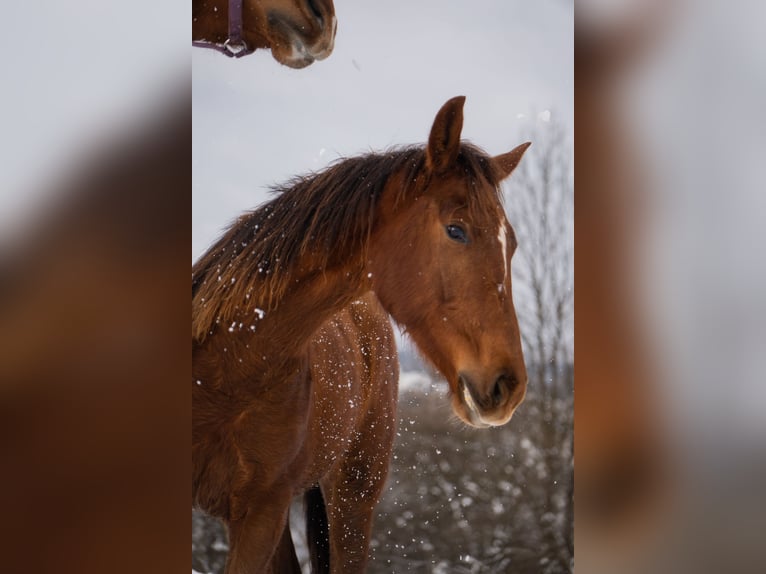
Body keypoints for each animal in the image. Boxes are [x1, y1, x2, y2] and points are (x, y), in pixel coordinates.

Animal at [192, 96, 530, 573]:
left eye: (511, 244)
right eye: (456, 230)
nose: (509, 385)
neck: (228, 366)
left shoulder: (260, 515)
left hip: (351, 497)